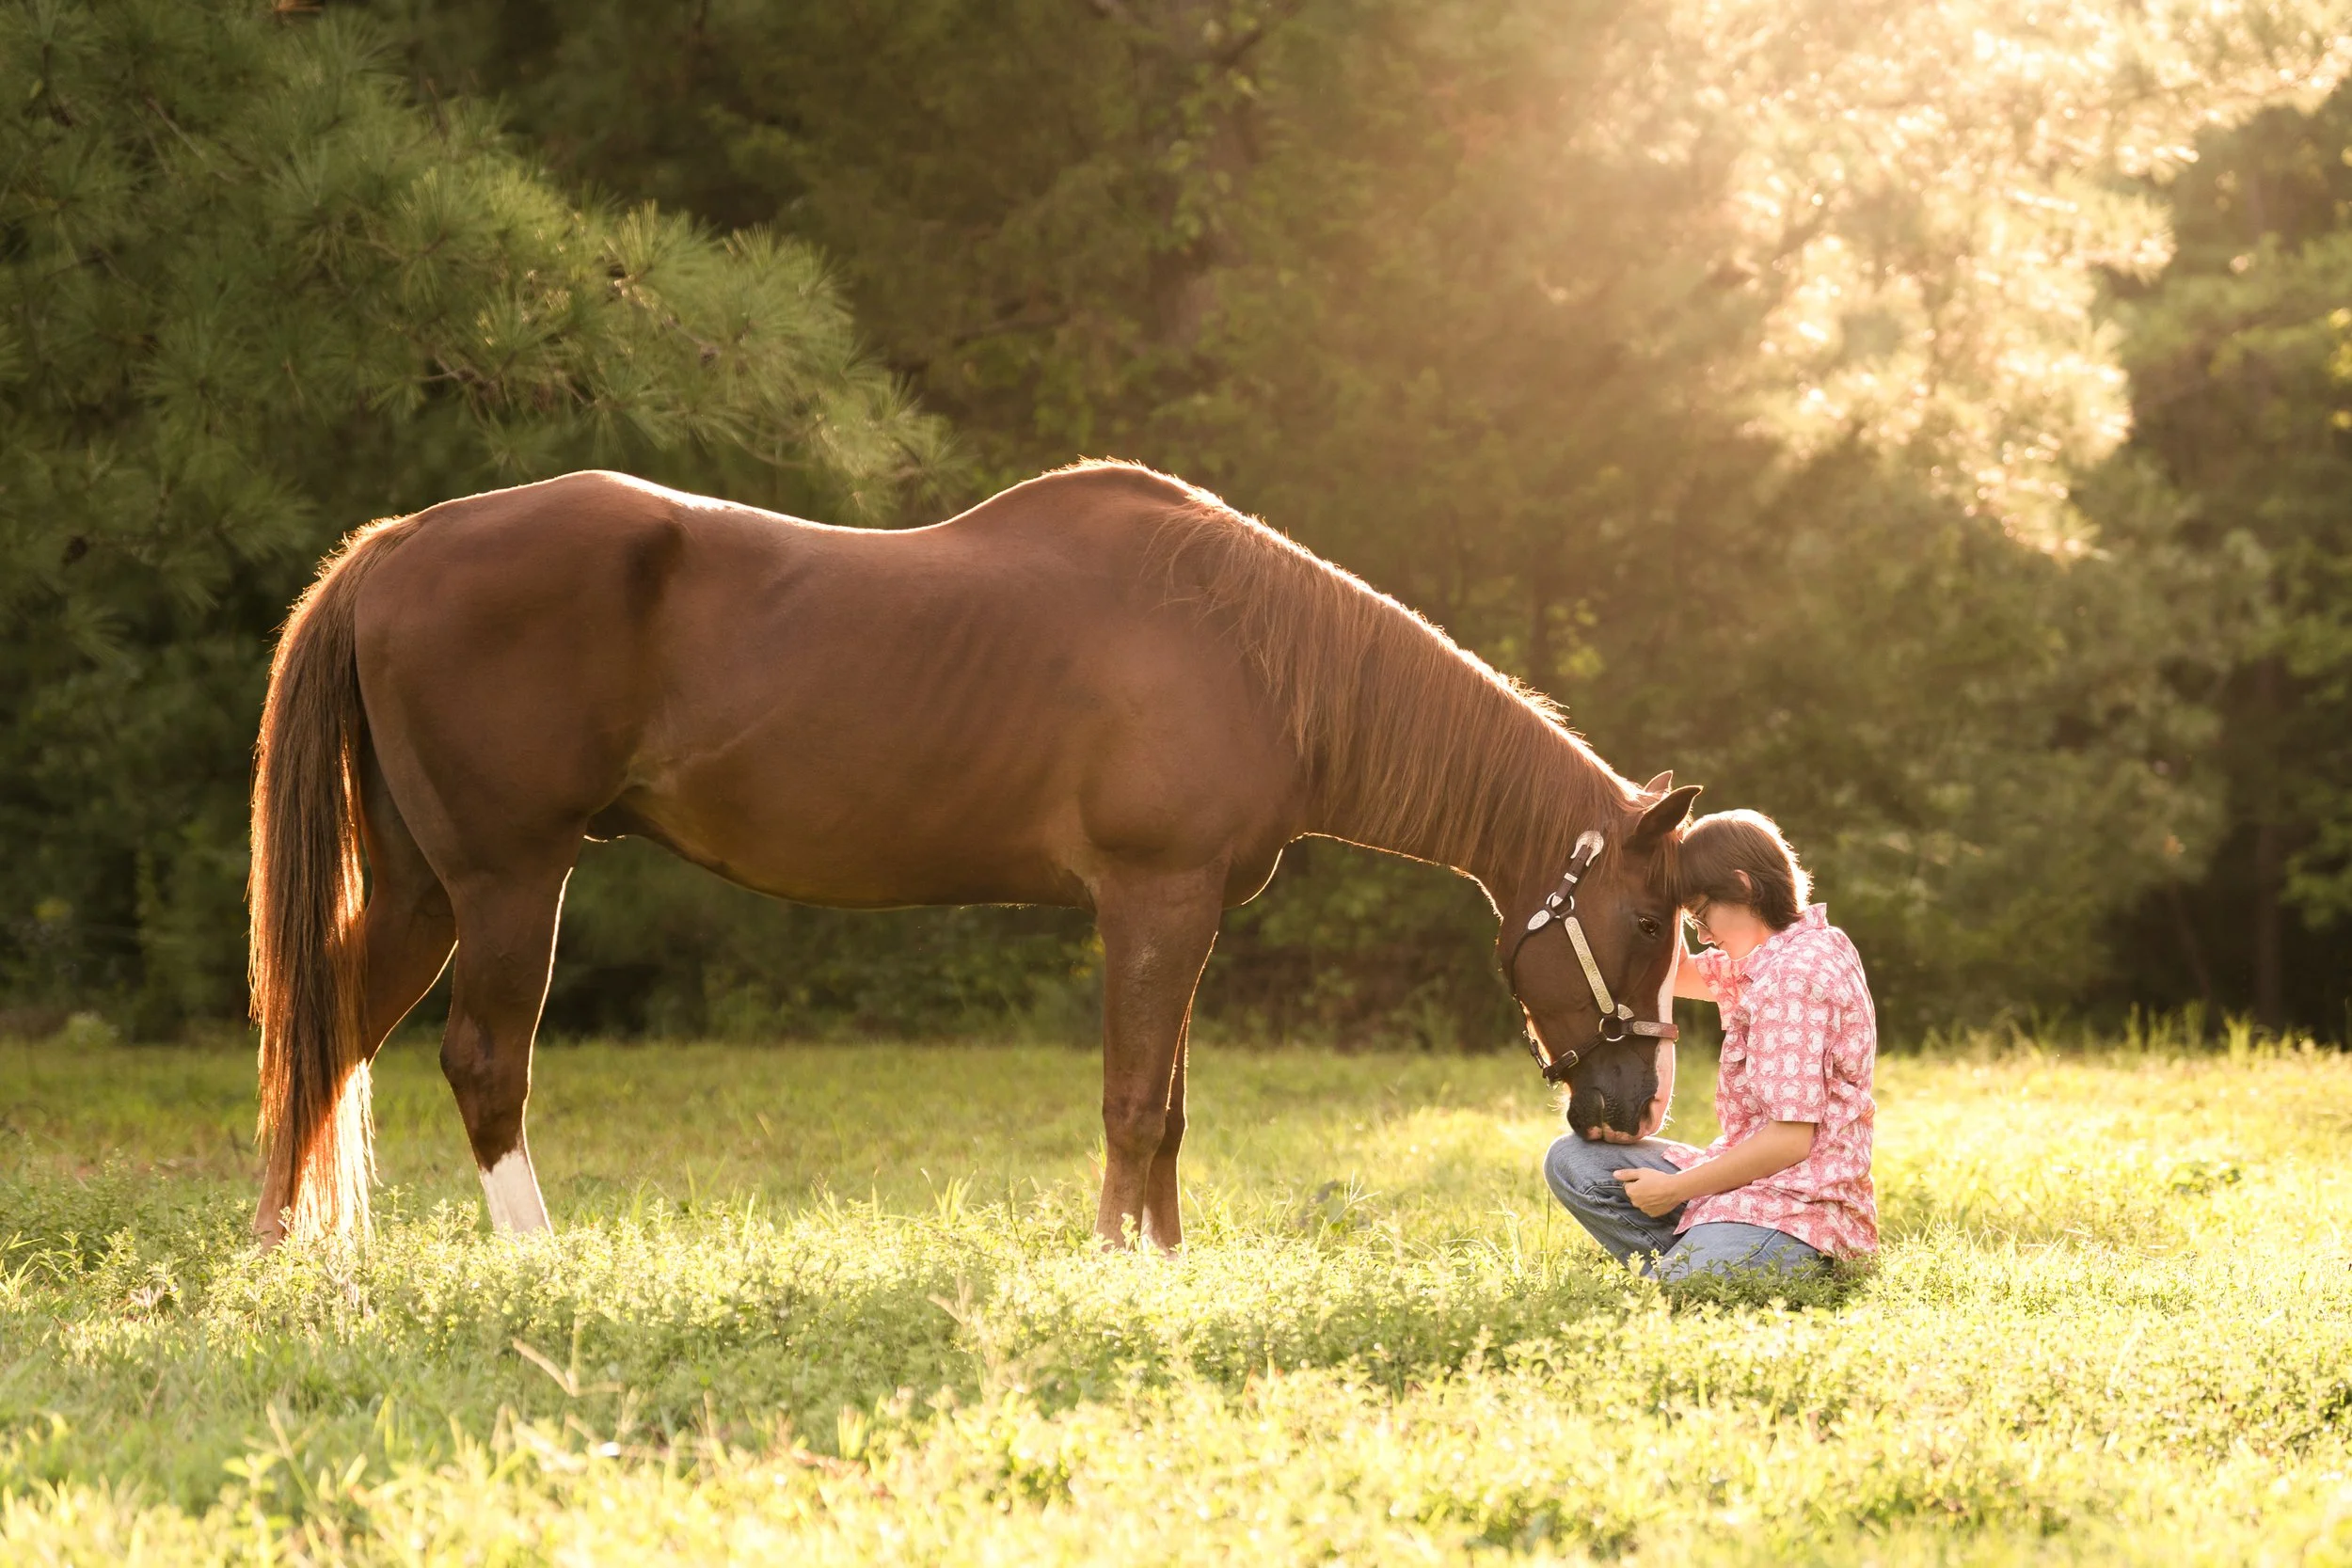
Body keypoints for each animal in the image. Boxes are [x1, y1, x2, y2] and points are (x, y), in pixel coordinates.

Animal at [248, 461, 1699, 1248]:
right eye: (1645, 923)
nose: (1630, 1108)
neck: (1244, 650)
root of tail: (398, 544)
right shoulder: (1152, 902)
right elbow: (1134, 1103)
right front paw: (1115, 1266)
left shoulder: (1185, 918)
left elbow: (1170, 1108)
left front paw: (1162, 1267)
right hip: (509, 880)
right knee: (482, 1061)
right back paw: (537, 1261)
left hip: (427, 887)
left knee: (328, 1038)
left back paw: (295, 1263)